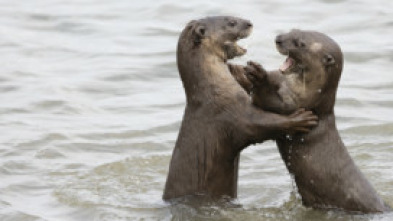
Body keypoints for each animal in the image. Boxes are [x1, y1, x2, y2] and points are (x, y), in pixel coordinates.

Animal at [162, 17, 318, 200]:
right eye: (231, 22)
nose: (249, 23)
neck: (214, 88)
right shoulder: (231, 112)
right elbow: (261, 125)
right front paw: (301, 119)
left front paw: (246, 72)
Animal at [240, 29, 390, 212]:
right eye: (292, 30)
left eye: (300, 43)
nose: (278, 39)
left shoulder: (298, 104)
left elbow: (269, 102)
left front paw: (259, 75)